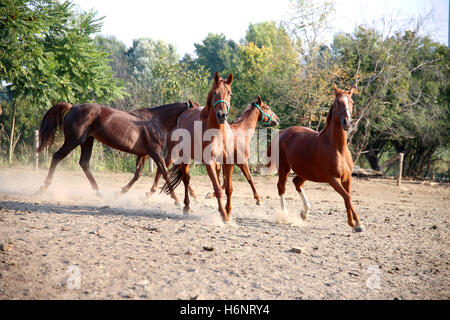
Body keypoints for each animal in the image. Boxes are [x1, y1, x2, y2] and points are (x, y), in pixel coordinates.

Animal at [34, 100, 197, 200]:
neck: (156, 122)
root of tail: (73, 107)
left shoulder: (143, 154)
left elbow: (137, 174)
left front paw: (119, 193)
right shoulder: (155, 153)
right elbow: (164, 173)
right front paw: (176, 200)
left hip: (87, 141)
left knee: (84, 163)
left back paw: (99, 193)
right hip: (74, 141)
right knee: (57, 156)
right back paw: (42, 188)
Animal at [163, 72, 237, 222]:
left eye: (230, 93)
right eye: (215, 93)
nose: (222, 115)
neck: (218, 132)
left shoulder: (228, 162)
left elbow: (228, 188)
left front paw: (229, 213)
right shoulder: (209, 162)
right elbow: (218, 189)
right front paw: (224, 216)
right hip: (184, 158)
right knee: (186, 180)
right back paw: (186, 207)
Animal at [266, 84, 364, 231]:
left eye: (351, 102)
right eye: (337, 102)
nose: (347, 123)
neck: (338, 148)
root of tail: (283, 132)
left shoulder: (347, 178)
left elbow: (348, 198)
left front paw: (353, 224)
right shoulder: (332, 179)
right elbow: (347, 197)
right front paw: (358, 224)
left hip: (306, 172)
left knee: (296, 182)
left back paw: (304, 213)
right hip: (284, 169)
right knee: (281, 188)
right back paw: (285, 216)